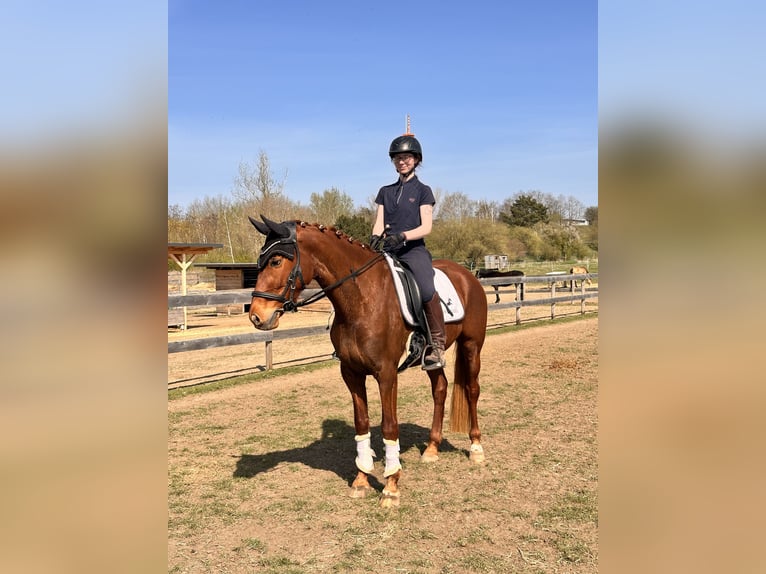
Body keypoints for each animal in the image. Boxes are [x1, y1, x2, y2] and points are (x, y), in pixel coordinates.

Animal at [247, 216, 488, 508]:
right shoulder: (351, 373)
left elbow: (389, 426)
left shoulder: (386, 374)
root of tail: (467, 275)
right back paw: (432, 448)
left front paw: (391, 486)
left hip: (471, 346)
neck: (360, 299)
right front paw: (361, 479)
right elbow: (361, 422)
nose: (257, 316)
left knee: (472, 390)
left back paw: (476, 448)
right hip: (432, 359)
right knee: (440, 389)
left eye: (275, 261)